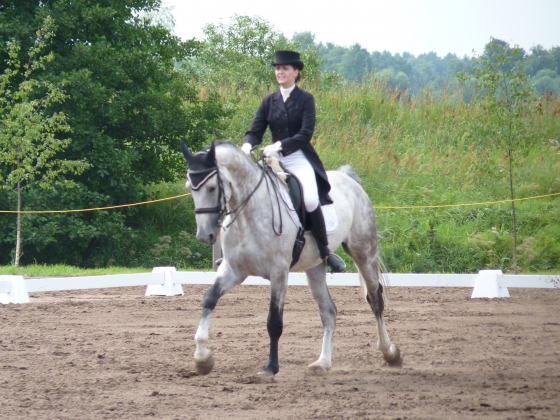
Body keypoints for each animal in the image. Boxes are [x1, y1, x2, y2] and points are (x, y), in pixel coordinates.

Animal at [182, 141, 400, 378]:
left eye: (212, 188)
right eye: (190, 188)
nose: (205, 236)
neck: (249, 213)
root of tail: (347, 179)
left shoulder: (279, 272)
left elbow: (274, 321)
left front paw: (271, 367)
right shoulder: (234, 270)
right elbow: (209, 298)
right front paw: (202, 358)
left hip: (363, 252)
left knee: (375, 299)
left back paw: (389, 352)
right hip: (315, 267)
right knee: (329, 311)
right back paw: (323, 362)